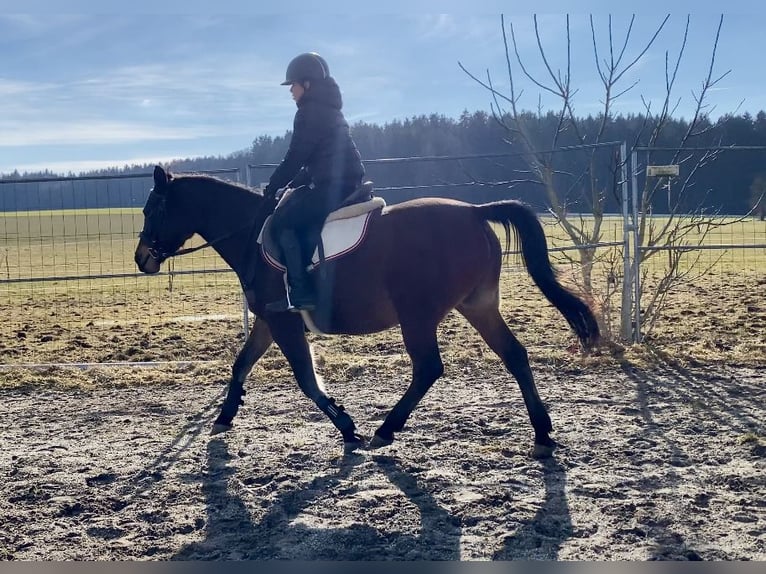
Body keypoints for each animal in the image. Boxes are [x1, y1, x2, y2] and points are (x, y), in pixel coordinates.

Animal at [135, 165, 600, 460]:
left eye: (152, 209)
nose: (142, 258)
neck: (252, 234)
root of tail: (472, 211)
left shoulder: (283, 321)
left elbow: (306, 379)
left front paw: (347, 426)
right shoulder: (269, 321)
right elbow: (241, 364)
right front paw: (224, 417)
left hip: (418, 315)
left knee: (429, 368)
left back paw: (386, 429)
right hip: (478, 306)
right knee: (515, 355)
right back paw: (542, 434)